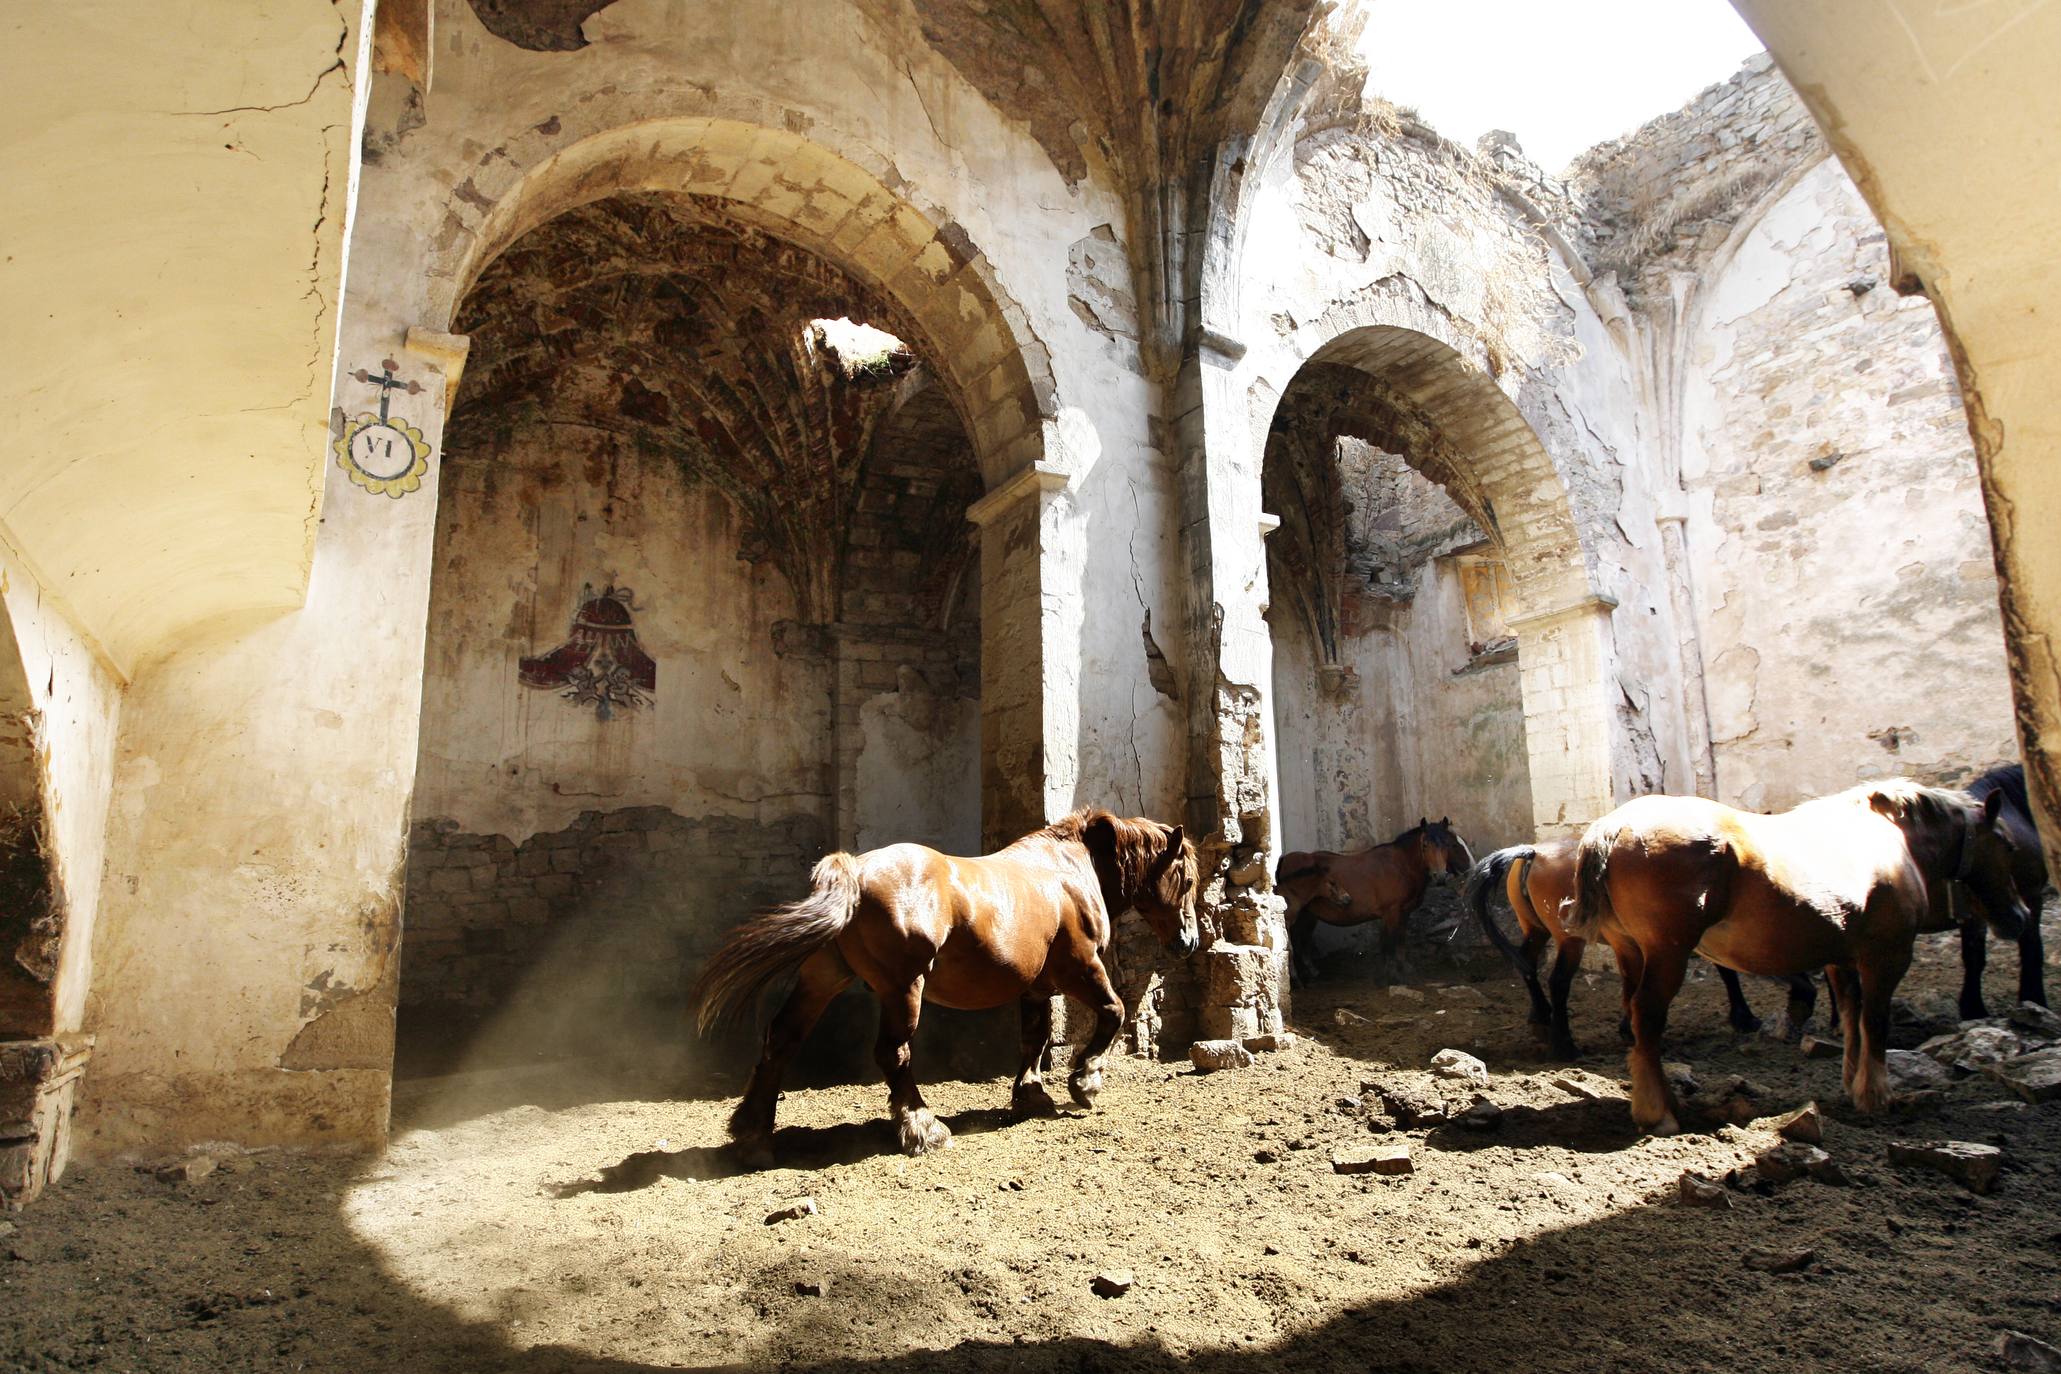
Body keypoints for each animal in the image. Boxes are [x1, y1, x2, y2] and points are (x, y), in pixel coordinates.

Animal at [696, 811, 1203, 1170]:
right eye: (1188, 879)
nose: (1189, 941)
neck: (1070, 873)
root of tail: (855, 872)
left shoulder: (1037, 987)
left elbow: (1034, 1040)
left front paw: (1032, 1095)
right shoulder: (1079, 968)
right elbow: (1113, 1012)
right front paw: (1085, 1082)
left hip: (822, 978)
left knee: (782, 1040)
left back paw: (754, 1136)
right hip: (904, 987)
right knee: (893, 1054)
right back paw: (923, 1127)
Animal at [1277, 823, 1475, 984]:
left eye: (1446, 845)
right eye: (1453, 845)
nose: (1472, 869)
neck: (1401, 867)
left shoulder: (1403, 913)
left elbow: (1400, 941)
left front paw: (1404, 969)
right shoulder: (1391, 913)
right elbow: (1389, 943)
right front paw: (1391, 976)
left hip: (1307, 916)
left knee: (1301, 940)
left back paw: (1310, 971)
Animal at [1467, 844, 1805, 1062]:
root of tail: (1534, 854)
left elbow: (1633, 982)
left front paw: (1627, 1028)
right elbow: (1724, 970)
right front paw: (1744, 1017)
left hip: (1536, 929)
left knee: (1526, 963)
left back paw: (1541, 1016)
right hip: (1569, 939)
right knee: (1558, 981)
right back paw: (1564, 1047)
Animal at [1558, 778, 2028, 1137]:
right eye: (2006, 845)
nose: (2020, 916)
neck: (1892, 841)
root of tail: (1614, 826)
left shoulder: (1843, 958)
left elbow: (1853, 1019)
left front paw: (1852, 1083)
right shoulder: (1888, 955)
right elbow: (1875, 1021)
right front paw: (1876, 1094)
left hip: (1632, 952)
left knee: (1637, 1024)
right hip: (1667, 953)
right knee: (1648, 1017)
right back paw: (1659, 1113)